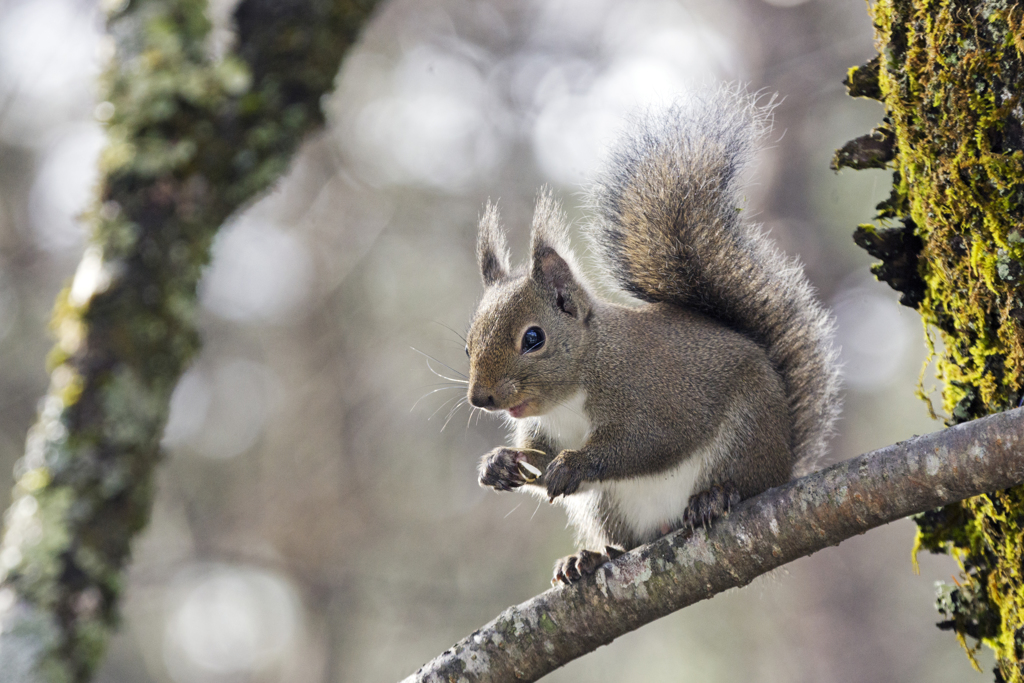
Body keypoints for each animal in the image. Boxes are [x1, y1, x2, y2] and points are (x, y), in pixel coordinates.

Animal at [464, 88, 839, 585]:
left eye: (532, 338)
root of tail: (785, 463)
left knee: (743, 481)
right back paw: (591, 558)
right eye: (467, 344)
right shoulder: (544, 430)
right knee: (628, 542)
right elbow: (537, 461)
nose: (481, 398)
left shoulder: (652, 396)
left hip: (747, 436)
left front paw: (576, 462)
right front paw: (500, 463)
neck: (581, 378)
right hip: (608, 507)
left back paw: (717, 497)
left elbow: (651, 443)